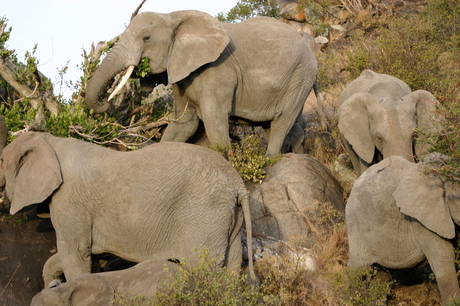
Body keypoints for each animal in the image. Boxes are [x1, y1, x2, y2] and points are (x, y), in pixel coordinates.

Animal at [84, 10, 318, 157]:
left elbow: (214, 120)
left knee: (281, 121)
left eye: (146, 38)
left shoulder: (217, 70)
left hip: (301, 76)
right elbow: (183, 124)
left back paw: (270, 159)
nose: (107, 102)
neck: (172, 16)